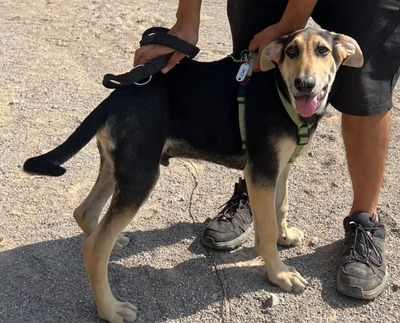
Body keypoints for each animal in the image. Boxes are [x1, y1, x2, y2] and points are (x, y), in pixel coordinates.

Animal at [23, 28, 364, 323]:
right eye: (291, 51)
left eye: (323, 51)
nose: (305, 84)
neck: (281, 93)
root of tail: (115, 96)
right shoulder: (261, 172)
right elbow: (265, 231)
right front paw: (279, 275)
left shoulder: (280, 168)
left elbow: (281, 208)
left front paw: (286, 236)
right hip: (140, 174)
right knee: (94, 249)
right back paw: (111, 309)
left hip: (119, 166)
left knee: (85, 212)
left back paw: (112, 240)